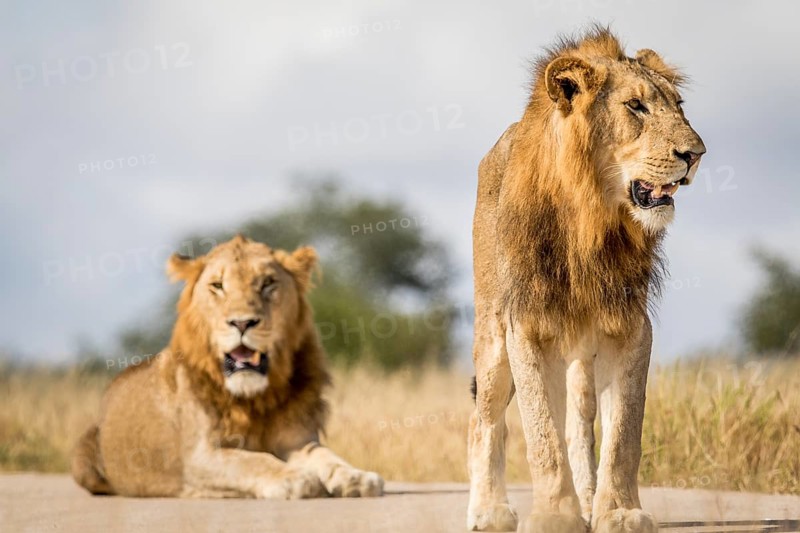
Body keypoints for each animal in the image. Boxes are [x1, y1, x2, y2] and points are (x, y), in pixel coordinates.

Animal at [72, 235, 384, 499]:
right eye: (218, 286)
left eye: (267, 283)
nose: (242, 323)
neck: (255, 398)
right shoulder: (199, 456)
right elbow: (249, 460)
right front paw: (295, 478)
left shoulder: (298, 439)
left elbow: (327, 457)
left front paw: (357, 477)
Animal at [467, 27, 705, 533]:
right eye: (635, 106)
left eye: (679, 104)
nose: (695, 155)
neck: (592, 216)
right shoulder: (525, 326)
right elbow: (541, 434)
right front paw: (555, 515)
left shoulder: (631, 327)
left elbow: (622, 436)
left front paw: (618, 511)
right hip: (493, 337)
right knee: (485, 420)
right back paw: (488, 510)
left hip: (578, 353)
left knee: (579, 423)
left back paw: (588, 497)